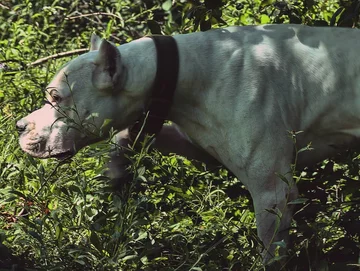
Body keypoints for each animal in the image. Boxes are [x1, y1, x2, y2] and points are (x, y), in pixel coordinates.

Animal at [16, 24, 360, 262]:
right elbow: (126, 136)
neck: (183, 71)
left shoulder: (272, 191)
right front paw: (115, 171)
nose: (19, 126)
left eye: (57, 97)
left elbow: (271, 251)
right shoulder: (196, 142)